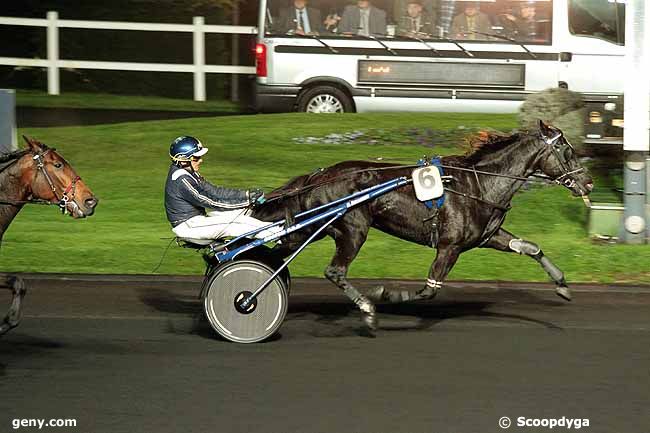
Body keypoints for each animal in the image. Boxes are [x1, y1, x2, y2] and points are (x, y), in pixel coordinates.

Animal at [252, 121, 592, 330]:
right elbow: (429, 290)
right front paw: (384, 295)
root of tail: (318, 175)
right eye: (567, 150)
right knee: (334, 271)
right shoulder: (450, 246)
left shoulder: (487, 236)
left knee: (278, 252)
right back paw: (367, 310)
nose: (588, 182)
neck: (481, 184)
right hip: (352, 229)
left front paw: (562, 285)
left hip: (314, 229)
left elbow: (531, 247)